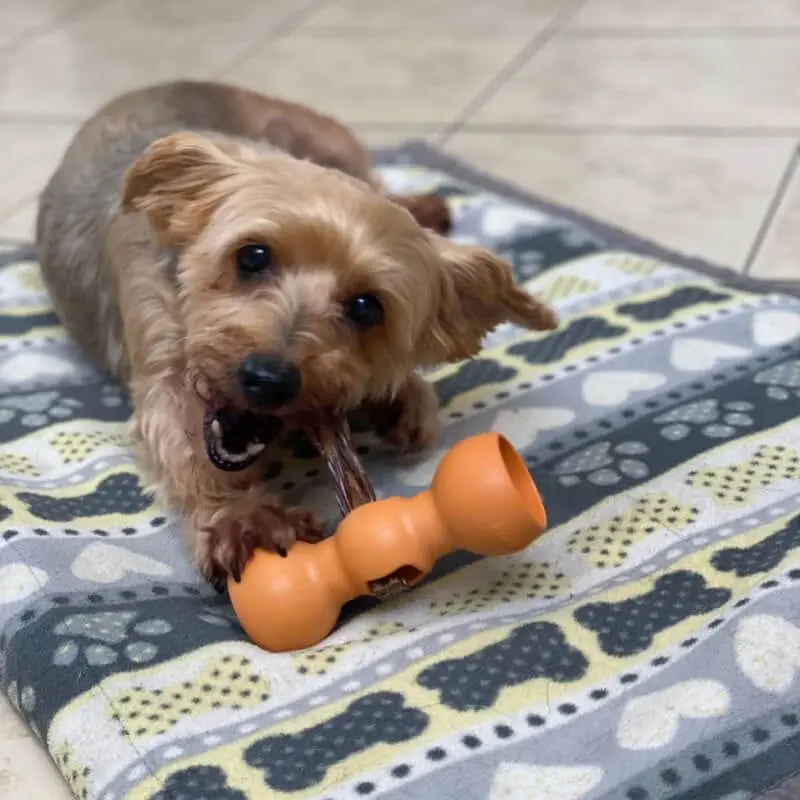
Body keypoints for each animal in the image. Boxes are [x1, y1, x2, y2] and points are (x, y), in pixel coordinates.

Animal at [34, 81, 552, 592]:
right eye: (252, 256)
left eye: (367, 306)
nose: (268, 378)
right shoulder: (162, 362)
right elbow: (181, 443)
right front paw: (244, 520)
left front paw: (399, 397)